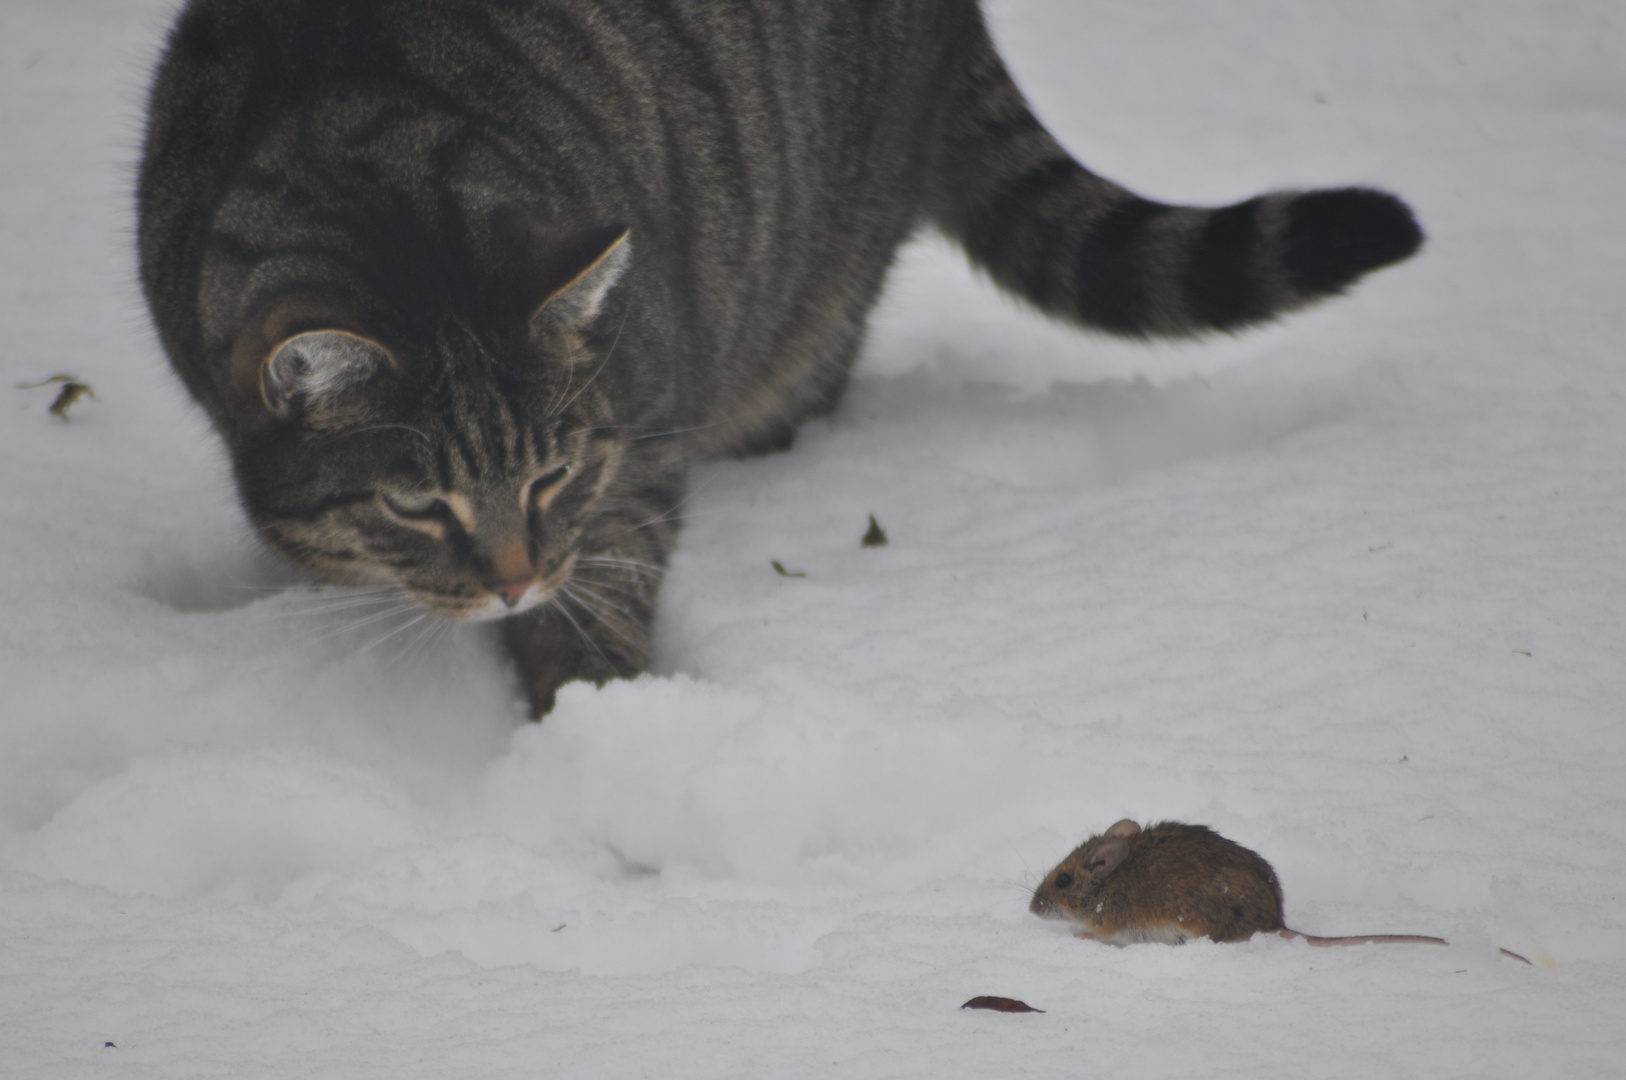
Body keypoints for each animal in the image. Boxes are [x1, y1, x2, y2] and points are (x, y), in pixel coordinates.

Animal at [133, 2, 1417, 715]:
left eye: (552, 476)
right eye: (415, 501)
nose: (515, 578)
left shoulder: (637, 444)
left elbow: (604, 595)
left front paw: (595, 728)